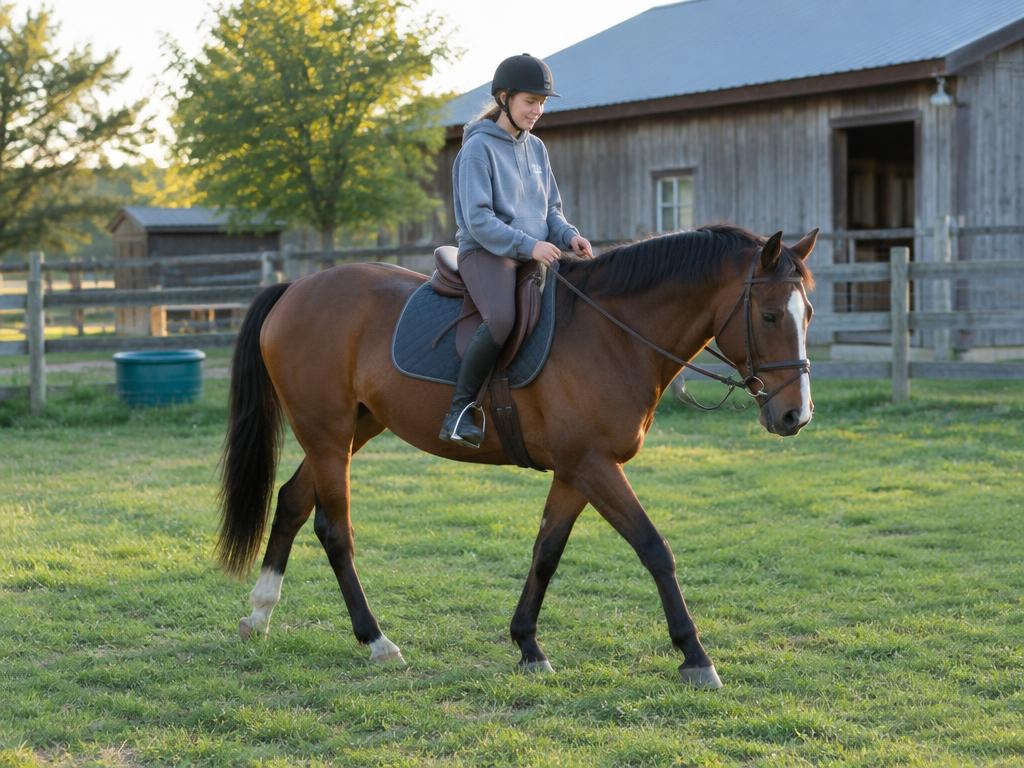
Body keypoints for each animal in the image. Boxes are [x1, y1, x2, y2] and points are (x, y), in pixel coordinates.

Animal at [217, 224, 818, 689]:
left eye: (808, 312)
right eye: (768, 316)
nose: (796, 416)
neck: (612, 335)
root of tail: (296, 288)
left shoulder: (576, 472)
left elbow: (546, 552)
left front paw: (528, 645)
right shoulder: (594, 466)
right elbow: (654, 548)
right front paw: (695, 656)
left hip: (351, 430)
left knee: (292, 502)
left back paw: (259, 614)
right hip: (326, 432)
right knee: (335, 530)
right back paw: (375, 640)